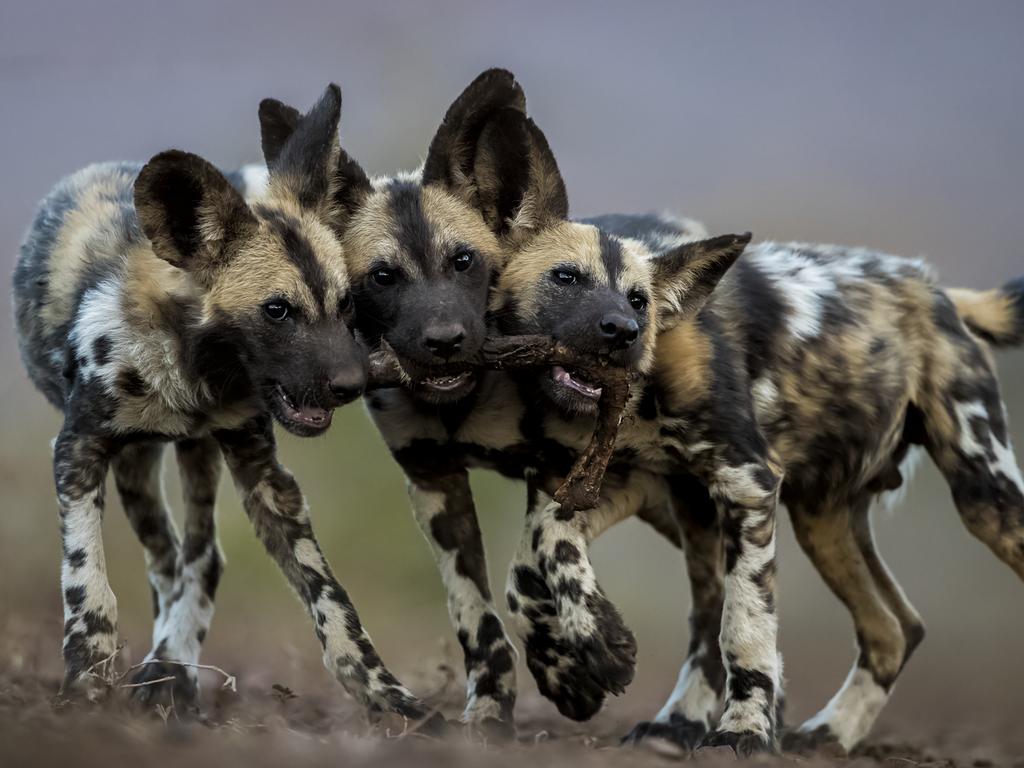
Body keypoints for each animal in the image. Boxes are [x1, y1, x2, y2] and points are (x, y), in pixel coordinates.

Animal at [11, 85, 423, 720]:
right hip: (137, 466)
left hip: (195, 455)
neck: (194, 376)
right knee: (165, 561)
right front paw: (86, 680)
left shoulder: (263, 473)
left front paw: (387, 695)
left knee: (200, 560)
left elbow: (330, 597)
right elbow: (87, 579)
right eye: (277, 310)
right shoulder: (77, 451)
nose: (353, 385)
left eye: (347, 304)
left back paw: (173, 668)